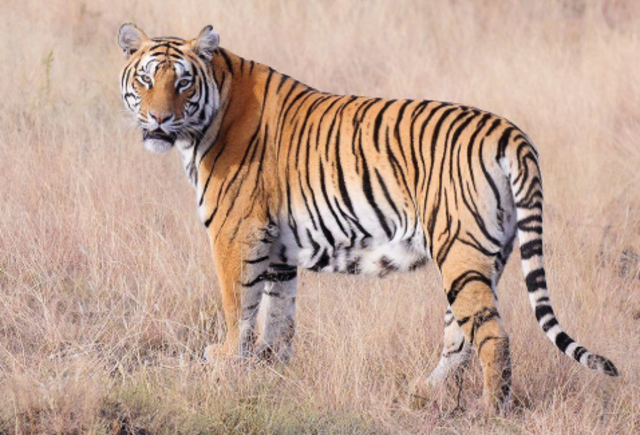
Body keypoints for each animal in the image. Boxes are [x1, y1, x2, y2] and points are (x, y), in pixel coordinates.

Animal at [117, 23, 619, 412]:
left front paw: (224, 361)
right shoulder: (277, 249)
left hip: (461, 250)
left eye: (182, 84)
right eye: (146, 80)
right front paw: (269, 372)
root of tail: (510, 132)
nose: (159, 120)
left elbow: (237, 304)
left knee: (493, 336)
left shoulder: (235, 233)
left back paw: (493, 411)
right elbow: (277, 318)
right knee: (460, 336)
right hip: (484, 256)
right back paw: (423, 391)